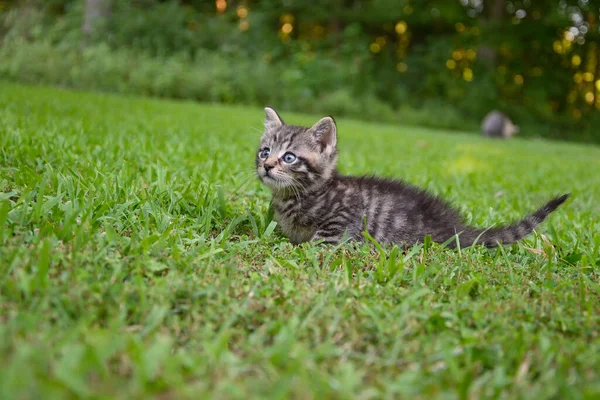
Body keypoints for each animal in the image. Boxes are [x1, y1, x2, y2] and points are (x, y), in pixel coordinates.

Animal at [254, 108, 568, 248]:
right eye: (265, 152)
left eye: (289, 157)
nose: (267, 166)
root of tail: (454, 227)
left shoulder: (339, 224)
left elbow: (318, 243)